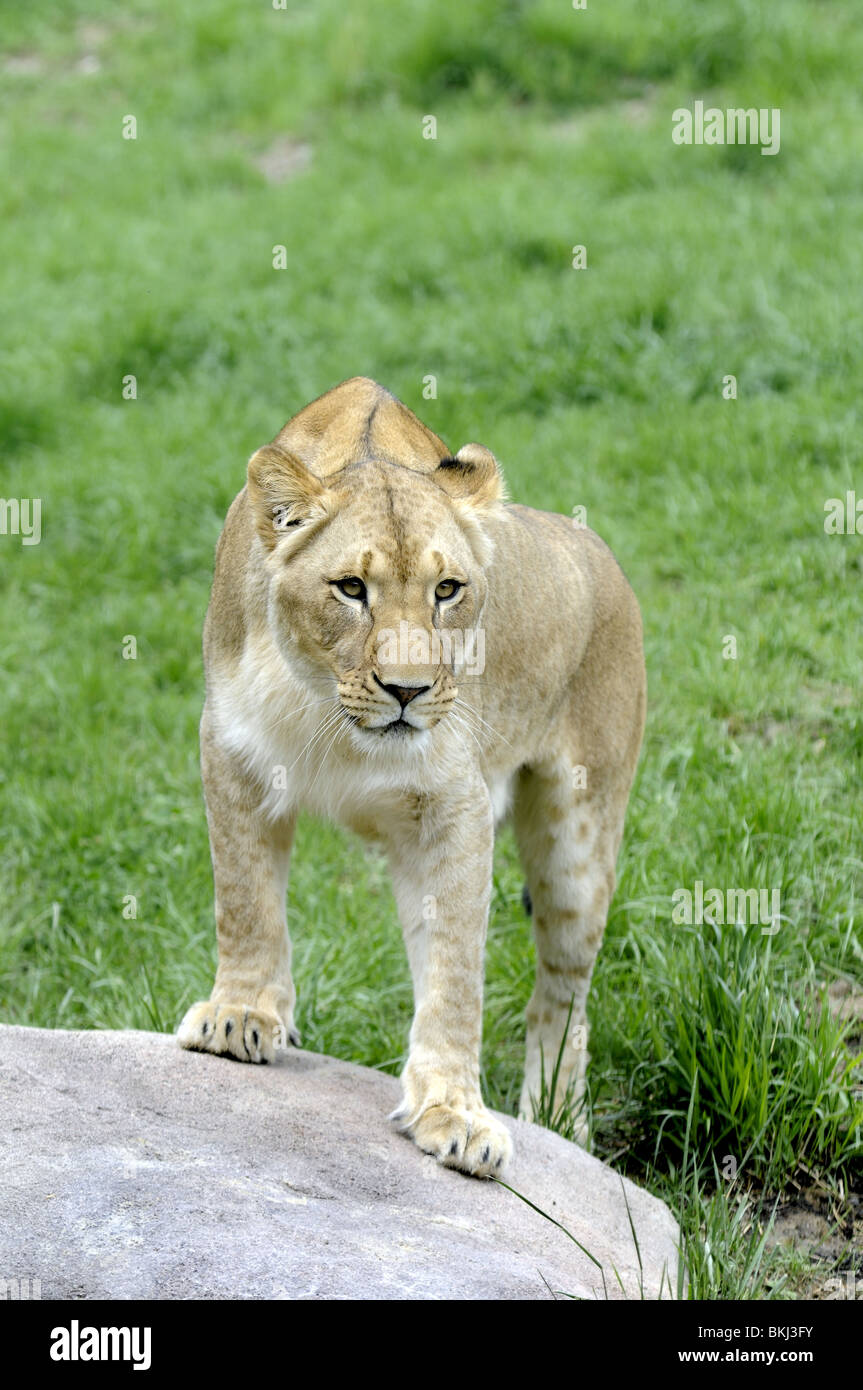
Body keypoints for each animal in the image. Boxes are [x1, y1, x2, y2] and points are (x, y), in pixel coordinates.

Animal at [178, 378, 646, 1177]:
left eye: (447, 590)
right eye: (350, 588)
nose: (407, 690)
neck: (327, 708)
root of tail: (599, 551)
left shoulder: (454, 805)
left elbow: (455, 971)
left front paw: (455, 1113)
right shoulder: (231, 751)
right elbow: (244, 897)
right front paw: (241, 1015)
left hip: (580, 843)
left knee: (561, 994)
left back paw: (556, 1115)